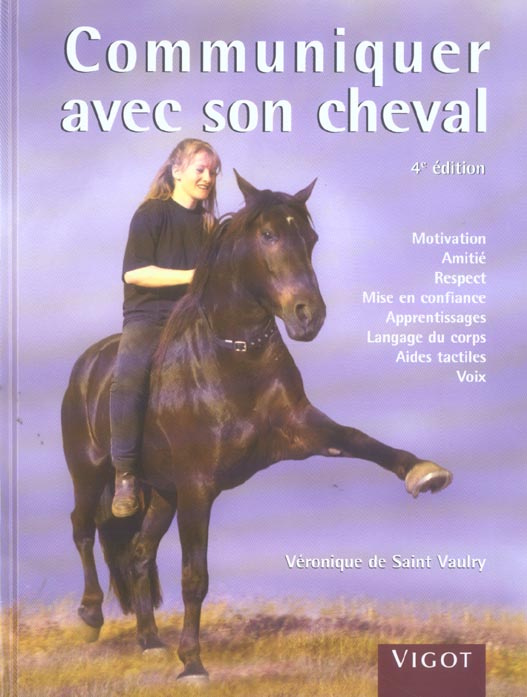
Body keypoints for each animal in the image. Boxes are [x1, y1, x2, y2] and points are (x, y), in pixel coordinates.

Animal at [62, 171, 453, 683]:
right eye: (267, 235)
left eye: (310, 239)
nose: (309, 315)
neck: (234, 359)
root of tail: (86, 364)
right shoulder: (197, 487)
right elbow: (195, 576)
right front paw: (193, 664)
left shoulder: (302, 431)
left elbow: (359, 439)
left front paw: (424, 473)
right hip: (91, 473)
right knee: (84, 529)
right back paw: (90, 617)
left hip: (163, 491)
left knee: (139, 552)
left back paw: (149, 641)